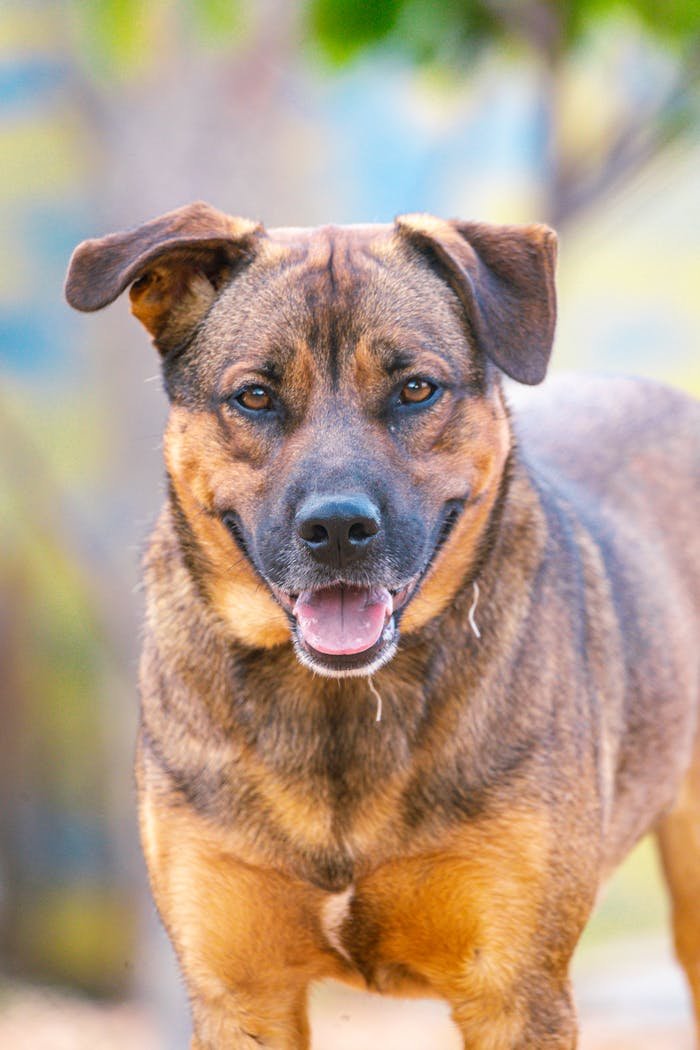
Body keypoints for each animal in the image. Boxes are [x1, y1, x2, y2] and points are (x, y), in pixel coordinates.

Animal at [65, 200, 700, 1045]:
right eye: (255, 397)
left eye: (416, 389)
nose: (337, 528)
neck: (337, 707)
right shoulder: (239, 991)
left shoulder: (516, 990)